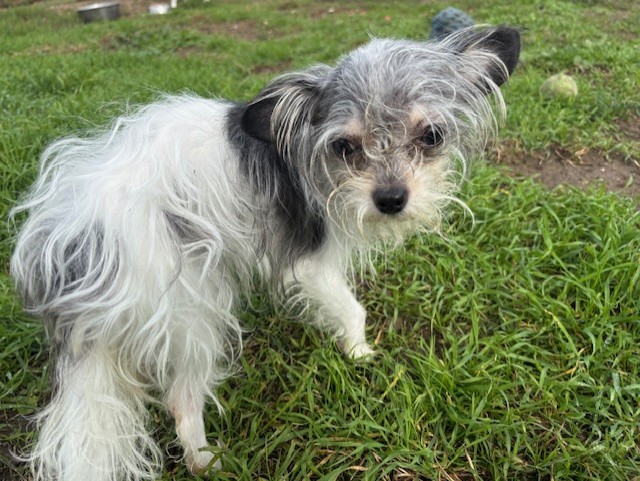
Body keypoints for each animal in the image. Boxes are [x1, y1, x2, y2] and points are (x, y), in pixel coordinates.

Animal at [10, 26, 520, 481]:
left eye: (431, 136)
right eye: (344, 146)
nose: (391, 200)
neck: (307, 158)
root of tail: (78, 246)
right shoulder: (309, 266)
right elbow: (352, 310)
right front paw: (359, 351)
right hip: (193, 308)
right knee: (181, 397)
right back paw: (204, 461)